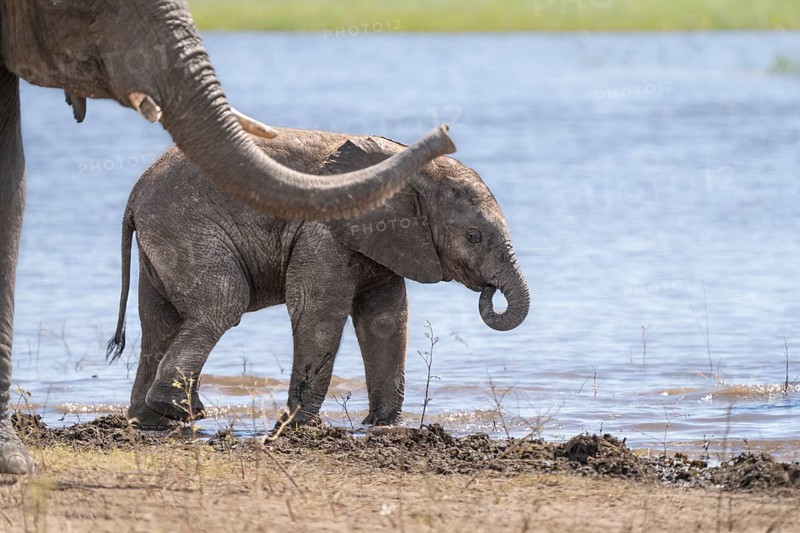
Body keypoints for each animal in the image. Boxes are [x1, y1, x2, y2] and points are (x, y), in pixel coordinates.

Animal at [107, 127, 530, 429]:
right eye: (473, 237)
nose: (489, 291)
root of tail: (134, 197)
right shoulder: (322, 232)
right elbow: (318, 314)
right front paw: (294, 428)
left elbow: (385, 319)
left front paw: (383, 426)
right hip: (189, 231)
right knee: (222, 305)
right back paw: (179, 412)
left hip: (162, 242)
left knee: (159, 322)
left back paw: (149, 421)